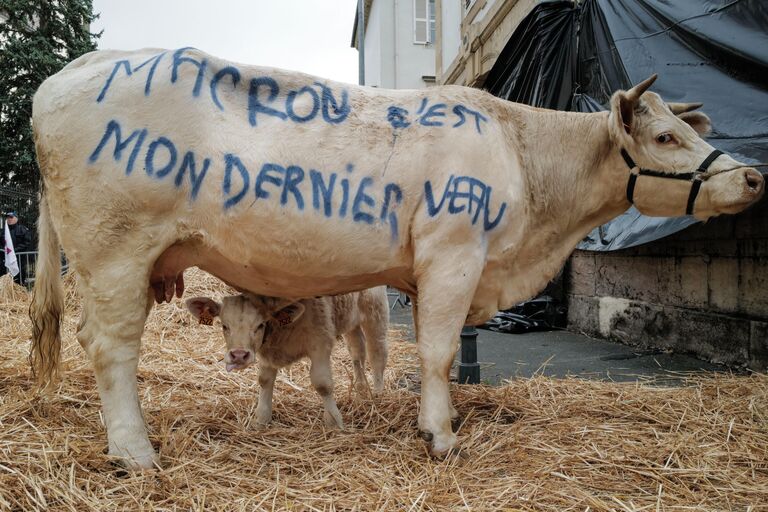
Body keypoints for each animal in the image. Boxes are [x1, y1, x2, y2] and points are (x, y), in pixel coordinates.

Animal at [186, 288, 390, 428]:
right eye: (224, 326)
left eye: (260, 325)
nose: (238, 355)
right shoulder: (267, 354)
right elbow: (264, 381)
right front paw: (261, 419)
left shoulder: (320, 344)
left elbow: (322, 384)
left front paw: (334, 421)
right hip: (350, 320)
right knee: (357, 351)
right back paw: (361, 390)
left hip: (375, 312)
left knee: (377, 353)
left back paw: (378, 393)